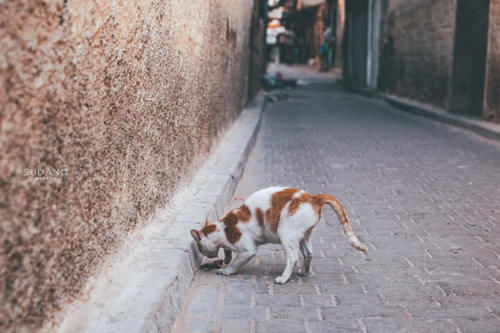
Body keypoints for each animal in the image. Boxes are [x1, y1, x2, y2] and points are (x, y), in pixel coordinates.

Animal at [190, 185, 368, 284]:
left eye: (199, 247)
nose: (208, 256)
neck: (222, 228)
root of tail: (313, 198)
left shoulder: (248, 250)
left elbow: (236, 261)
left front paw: (227, 270)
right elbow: (227, 251)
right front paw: (226, 258)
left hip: (286, 233)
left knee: (293, 258)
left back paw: (284, 279)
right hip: (303, 236)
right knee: (309, 254)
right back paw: (303, 272)